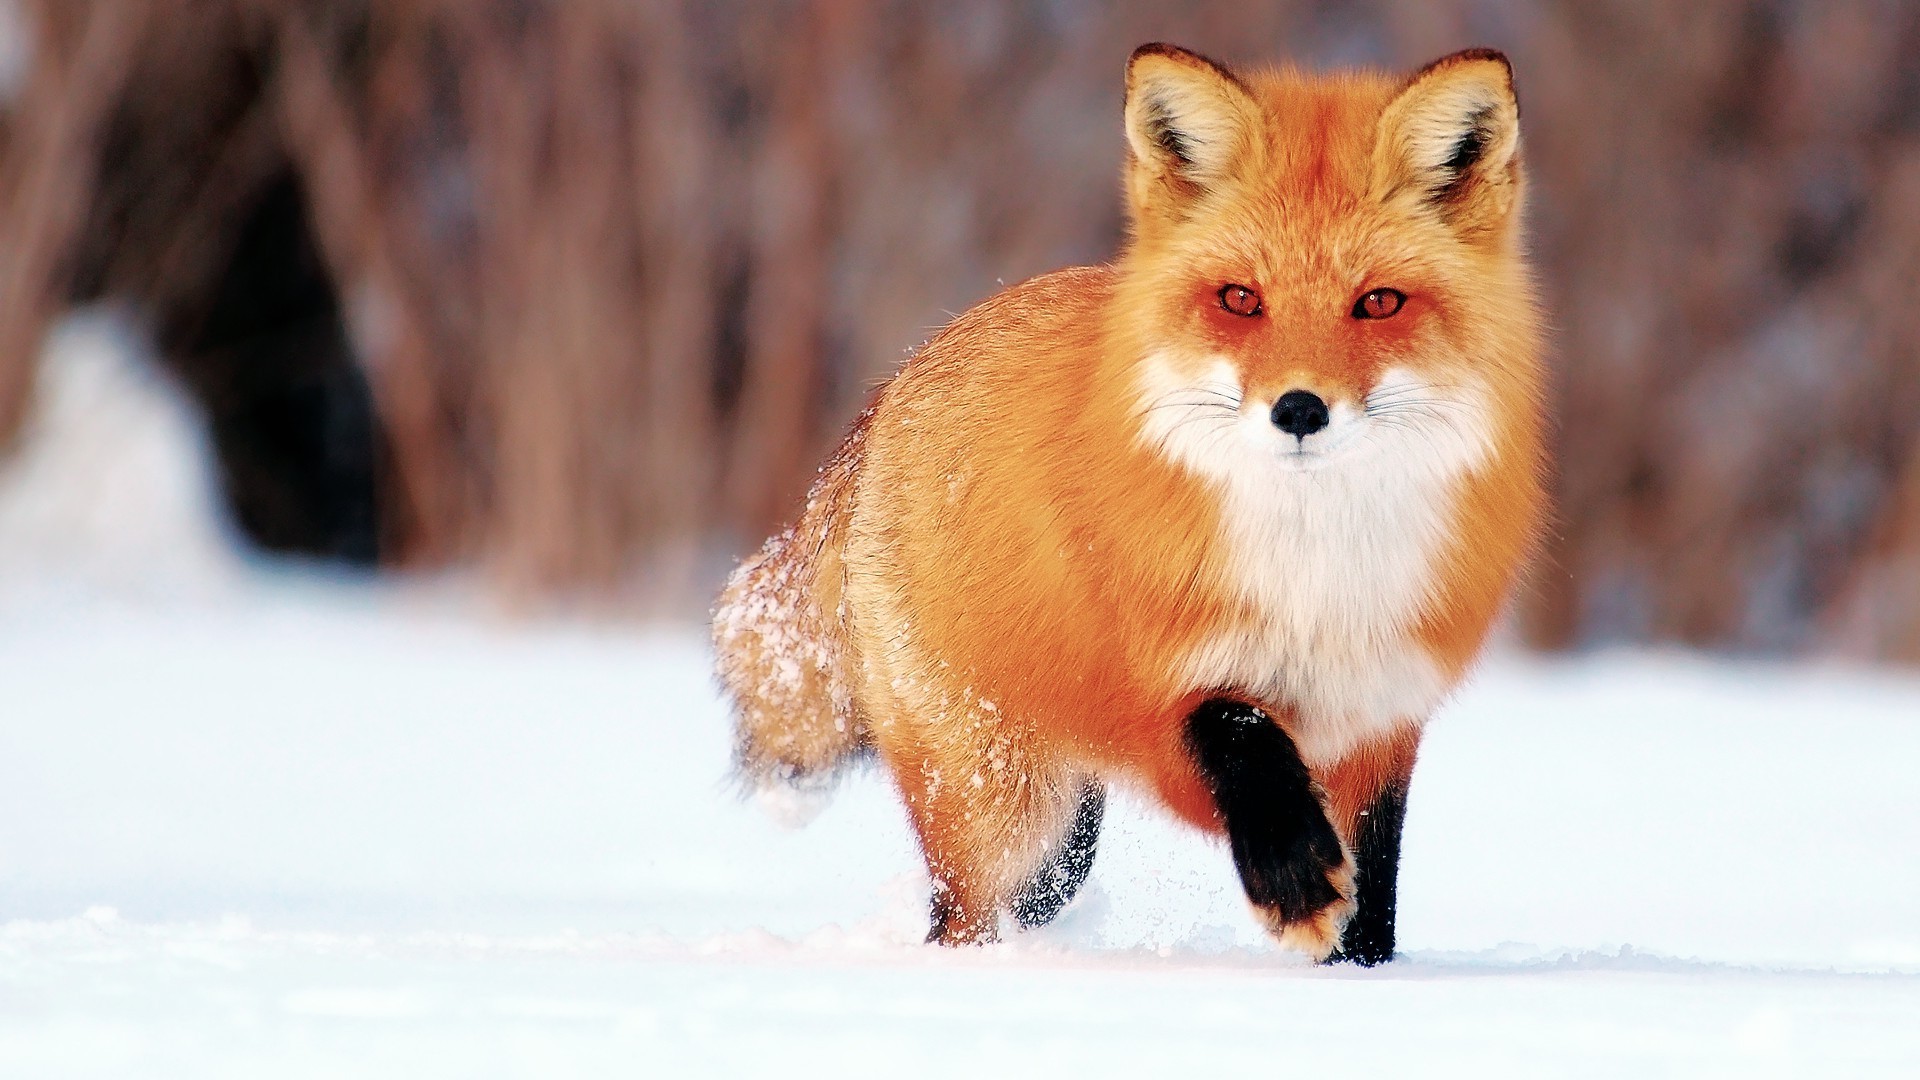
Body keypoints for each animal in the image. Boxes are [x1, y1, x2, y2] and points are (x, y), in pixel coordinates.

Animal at [718, 44, 1543, 957]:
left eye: (1379, 303)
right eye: (1241, 300)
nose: (1298, 409)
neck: (1314, 578)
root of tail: (898, 381)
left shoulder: (1381, 719)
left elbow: (1375, 899)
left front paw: (1364, 970)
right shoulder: (1157, 688)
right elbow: (1239, 731)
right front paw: (1292, 880)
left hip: (1060, 840)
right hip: (1000, 805)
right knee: (958, 916)